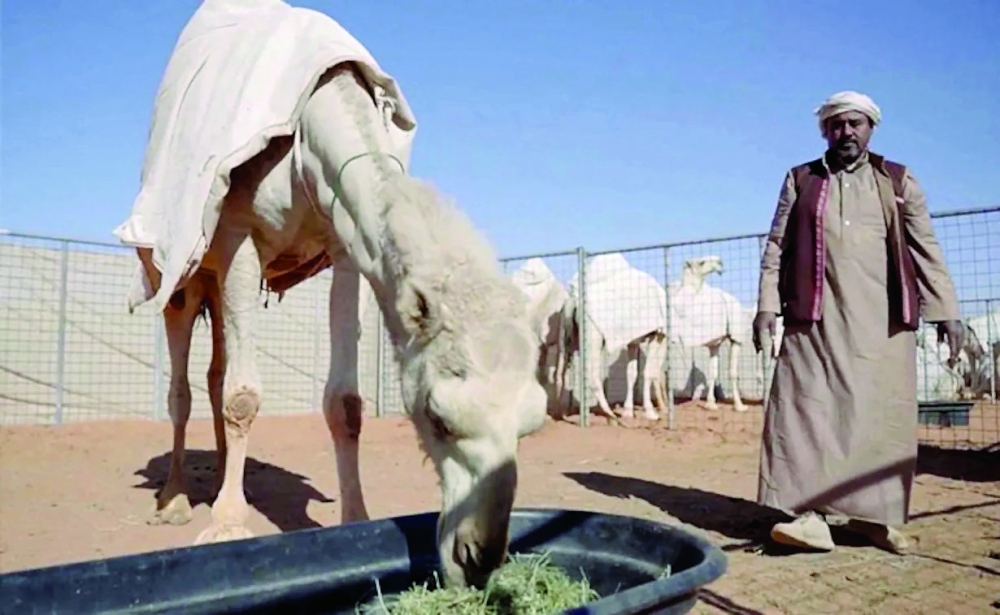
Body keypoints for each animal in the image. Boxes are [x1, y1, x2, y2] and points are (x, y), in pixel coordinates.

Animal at [115, 1, 546, 589]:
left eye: (532, 424)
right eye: (437, 417)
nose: (477, 557)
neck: (308, 140)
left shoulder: (346, 246)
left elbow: (345, 403)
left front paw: (354, 519)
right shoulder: (239, 235)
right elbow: (244, 395)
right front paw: (226, 526)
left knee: (215, 369)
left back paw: (226, 472)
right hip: (180, 273)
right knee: (180, 386)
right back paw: (175, 500)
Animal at [555, 253, 668, 422]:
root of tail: (574, 301)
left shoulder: (632, 341)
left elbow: (631, 373)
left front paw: (628, 412)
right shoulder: (657, 334)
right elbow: (649, 372)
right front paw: (651, 413)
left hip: (568, 329)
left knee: (562, 368)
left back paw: (566, 413)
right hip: (592, 332)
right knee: (591, 372)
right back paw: (609, 414)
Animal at [668, 255, 748, 412]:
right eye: (701, 262)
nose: (720, 262)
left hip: (733, 335)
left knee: (728, 371)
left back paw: (735, 405)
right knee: (714, 371)